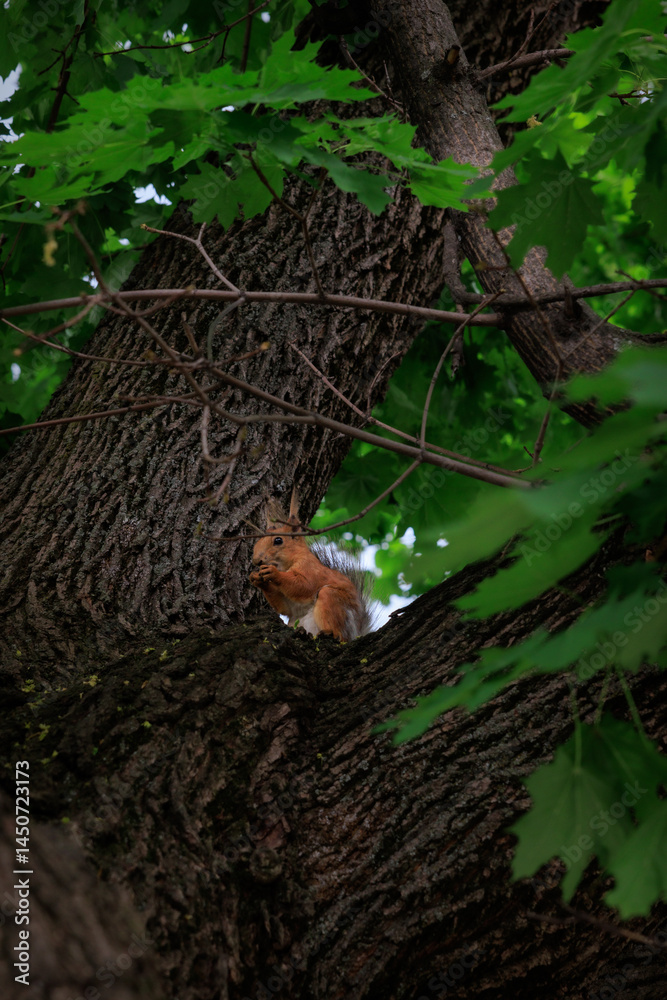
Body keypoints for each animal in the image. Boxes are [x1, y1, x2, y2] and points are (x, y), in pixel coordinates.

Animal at [249, 491, 374, 641]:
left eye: (278, 540)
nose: (256, 561)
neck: (287, 565)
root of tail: (354, 634)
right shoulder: (291, 608)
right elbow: (285, 608)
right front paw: (256, 579)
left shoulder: (310, 568)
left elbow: (304, 585)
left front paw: (274, 573)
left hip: (334, 601)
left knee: (339, 632)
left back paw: (331, 633)